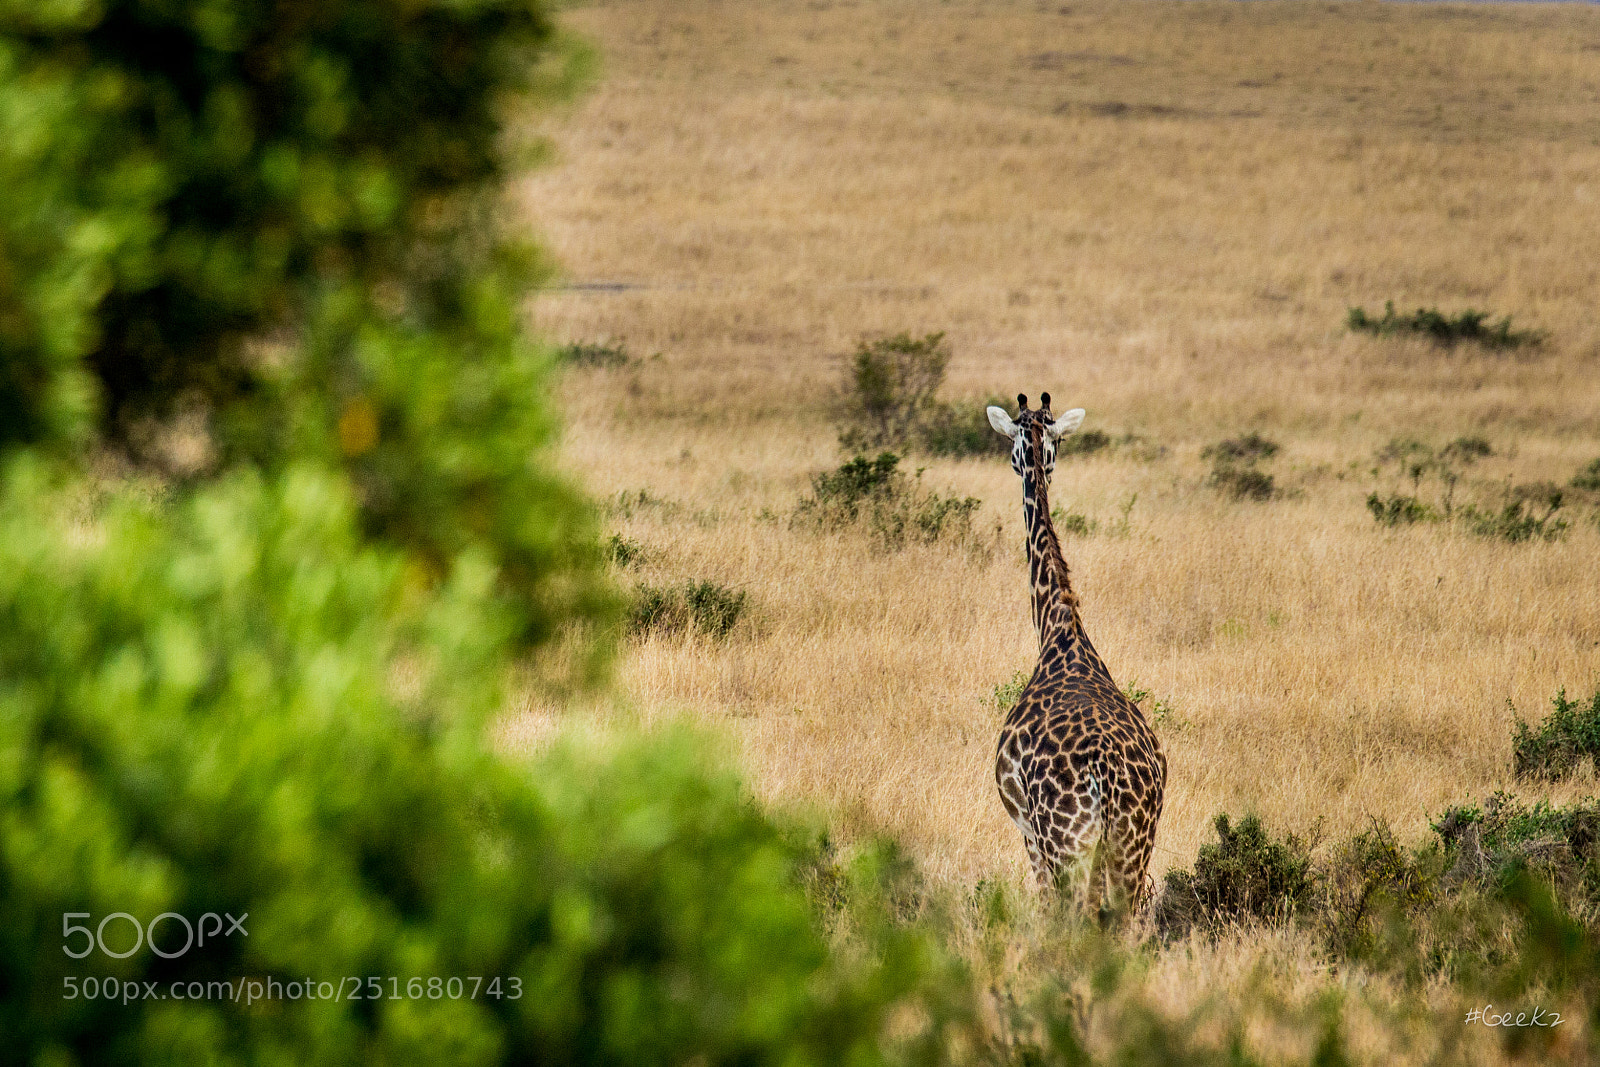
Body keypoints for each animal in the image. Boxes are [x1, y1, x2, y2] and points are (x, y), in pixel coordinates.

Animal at [987, 392, 1166, 912]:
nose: (1027, 463)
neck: (1060, 631)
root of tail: (1105, 775)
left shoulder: (1028, 835)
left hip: (1067, 844)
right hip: (1132, 845)